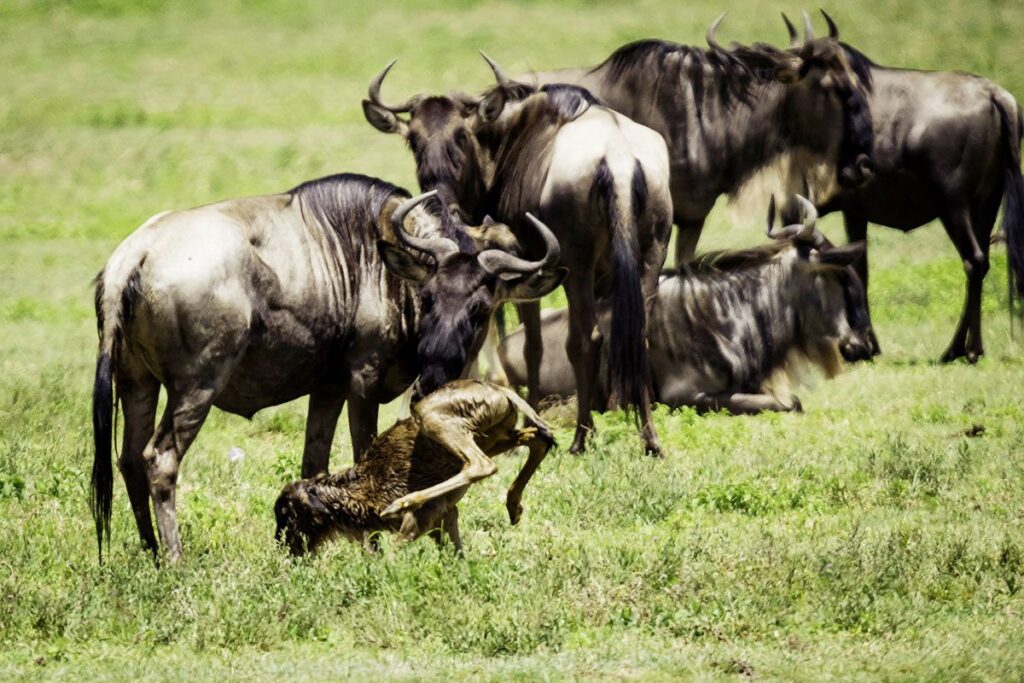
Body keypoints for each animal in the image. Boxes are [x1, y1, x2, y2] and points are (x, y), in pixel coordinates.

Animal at [274, 378, 552, 557]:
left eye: (286, 513)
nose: (282, 547)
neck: (362, 489)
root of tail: (499, 389)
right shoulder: (445, 519)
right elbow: (457, 556)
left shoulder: (418, 523)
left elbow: (390, 556)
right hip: (495, 436)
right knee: (536, 439)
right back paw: (514, 507)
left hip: (432, 417)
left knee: (481, 464)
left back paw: (402, 503)